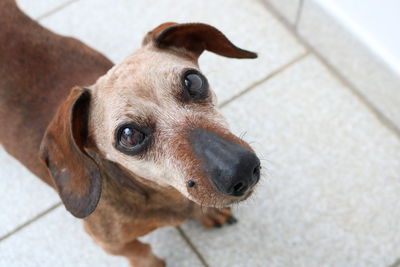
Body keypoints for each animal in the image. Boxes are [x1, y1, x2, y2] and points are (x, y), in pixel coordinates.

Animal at [0, 1, 260, 266]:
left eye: (194, 81)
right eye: (128, 135)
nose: (241, 169)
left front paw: (207, 213)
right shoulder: (110, 243)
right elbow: (140, 252)